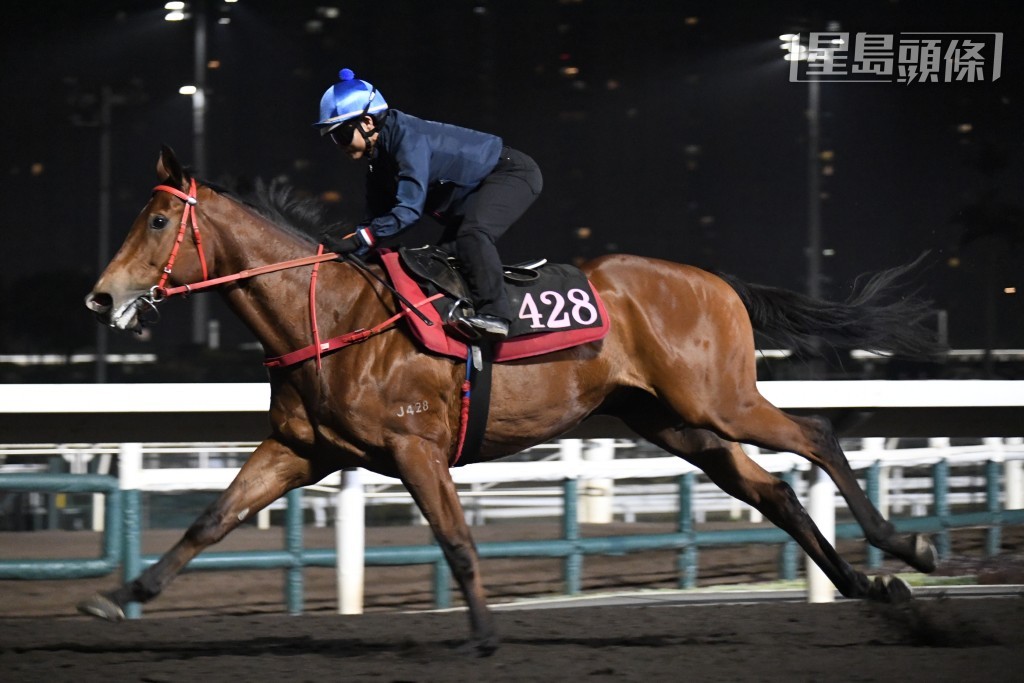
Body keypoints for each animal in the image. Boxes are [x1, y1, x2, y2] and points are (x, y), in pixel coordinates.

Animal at [80, 145, 942, 655]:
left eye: (158, 218)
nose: (100, 297)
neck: (331, 314)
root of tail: (719, 281)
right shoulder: (301, 448)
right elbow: (210, 518)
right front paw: (120, 596)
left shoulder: (414, 447)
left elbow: (458, 540)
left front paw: (487, 635)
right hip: (675, 421)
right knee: (774, 492)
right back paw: (875, 589)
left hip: (720, 399)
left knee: (818, 434)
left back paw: (907, 550)